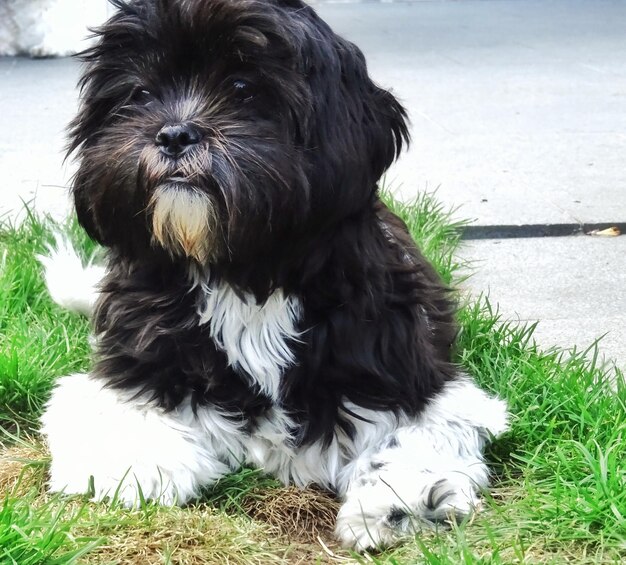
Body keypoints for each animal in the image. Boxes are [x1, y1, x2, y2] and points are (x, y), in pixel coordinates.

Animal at [37, 0, 508, 548]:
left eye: (243, 87)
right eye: (142, 93)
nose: (173, 133)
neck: (244, 272)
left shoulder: (410, 374)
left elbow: (422, 434)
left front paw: (398, 500)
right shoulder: (135, 362)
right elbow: (108, 417)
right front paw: (139, 465)